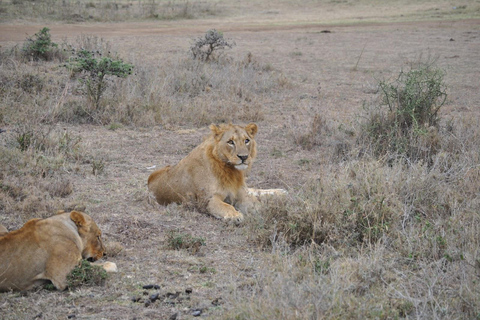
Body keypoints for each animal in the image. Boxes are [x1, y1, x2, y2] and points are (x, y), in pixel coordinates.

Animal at [148, 123, 286, 222]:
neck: (230, 170)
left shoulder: (241, 194)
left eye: (246, 140)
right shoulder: (208, 199)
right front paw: (234, 215)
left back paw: (281, 191)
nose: (244, 157)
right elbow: (226, 206)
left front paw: (269, 210)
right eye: (230, 142)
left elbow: (256, 204)